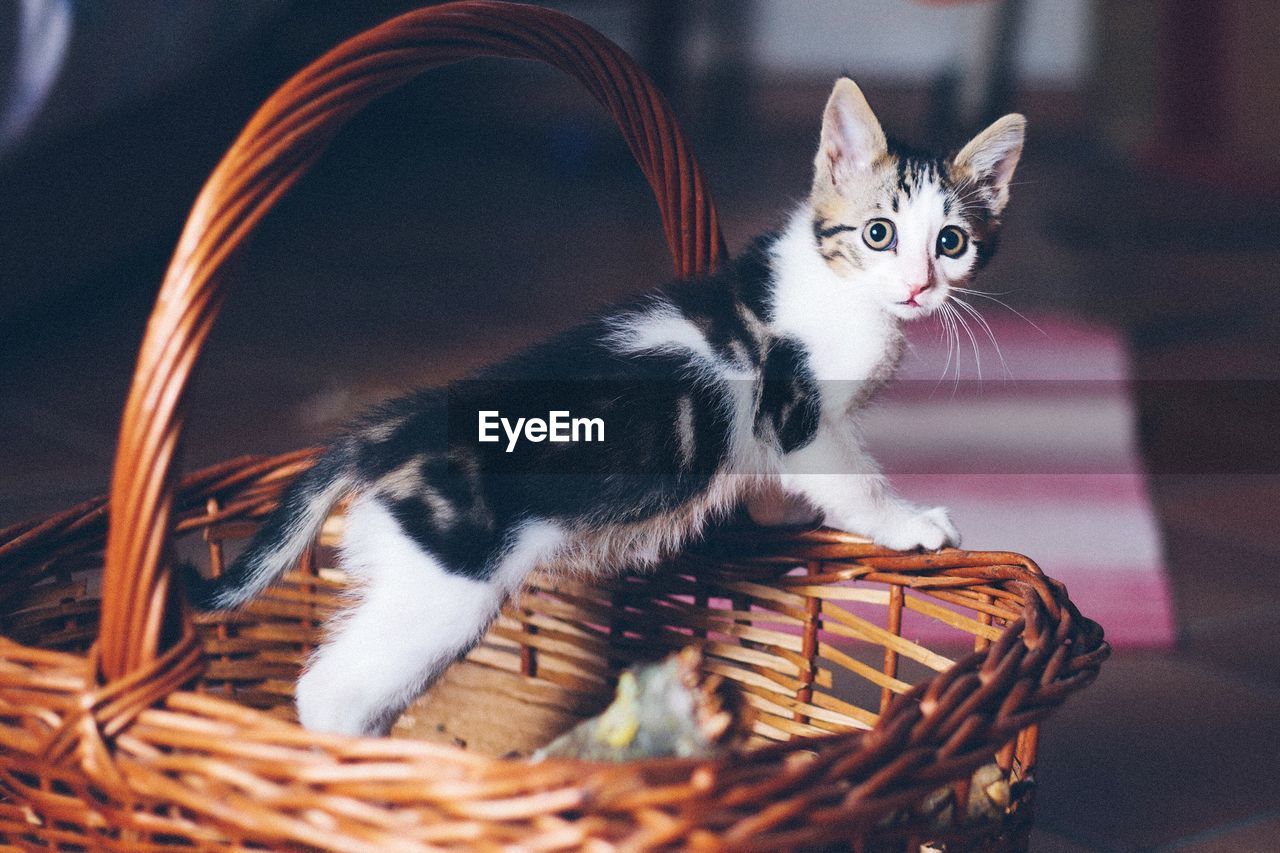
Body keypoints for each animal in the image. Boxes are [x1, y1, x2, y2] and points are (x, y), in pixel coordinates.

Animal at [186, 76, 1029, 732]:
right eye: (879, 233)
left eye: (951, 242)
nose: (918, 287)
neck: (843, 287)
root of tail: (389, 431)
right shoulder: (798, 413)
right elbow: (855, 479)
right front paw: (911, 523)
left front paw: (776, 514)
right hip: (445, 585)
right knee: (330, 689)